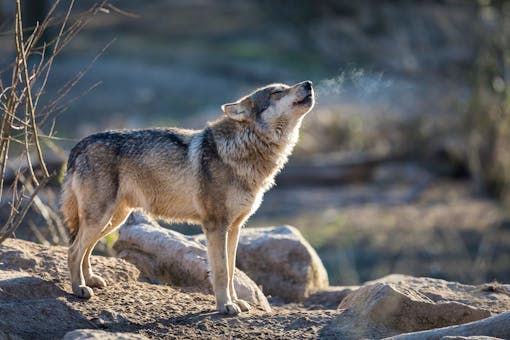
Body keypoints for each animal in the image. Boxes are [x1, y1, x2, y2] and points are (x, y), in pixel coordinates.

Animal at [59, 81, 314, 314]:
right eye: (278, 92)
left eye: (286, 86)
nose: (309, 83)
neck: (242, 148)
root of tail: (79, 145)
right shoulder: (215, 226)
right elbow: (221, 271)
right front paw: (225, 306)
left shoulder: (234, 227)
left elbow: (232, 270)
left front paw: (236, 302)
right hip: (101, 218)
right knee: (73, 250)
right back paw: (79, 289)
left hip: (113, 220)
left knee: (85, 249)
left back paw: (90, 280)